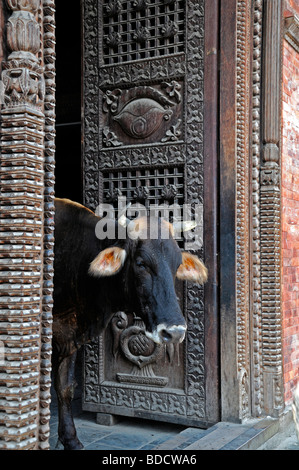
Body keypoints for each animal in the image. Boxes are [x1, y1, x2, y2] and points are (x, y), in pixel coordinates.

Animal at [52, 198, 209, 448]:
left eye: (177, 264)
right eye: (141, 263)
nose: (174, 331)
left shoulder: (70, 336)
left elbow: (64, 387)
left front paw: (70, 440)